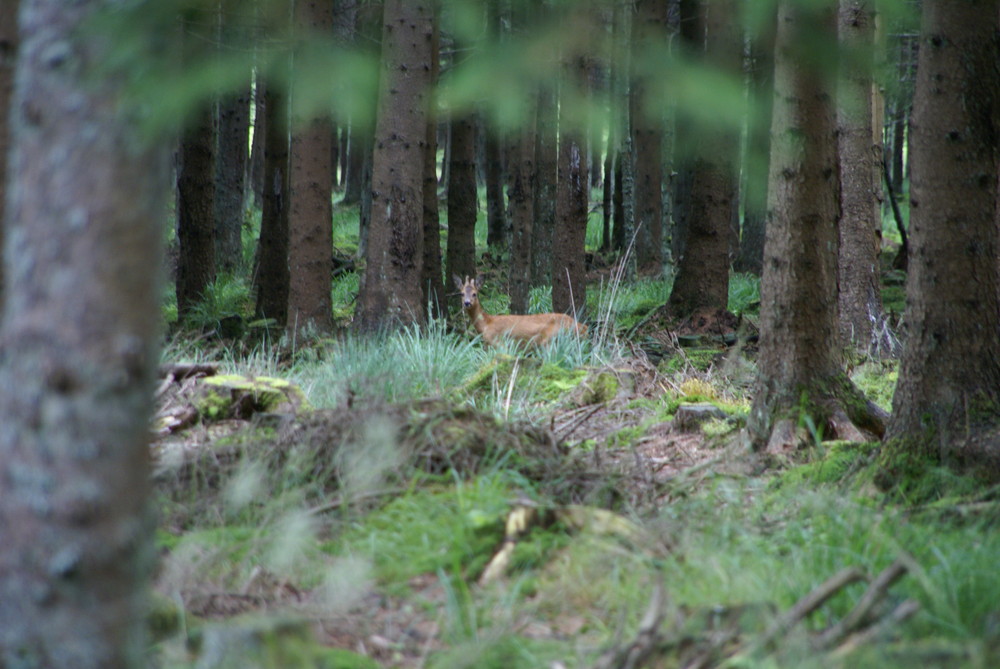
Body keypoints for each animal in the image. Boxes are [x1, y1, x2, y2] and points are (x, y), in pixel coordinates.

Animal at [454, 274, 584, 348]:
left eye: (474, 294)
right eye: (462, 293)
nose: (467, 303)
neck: (486, 324)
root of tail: (583, 328)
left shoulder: (499, 342)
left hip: (552, 340)